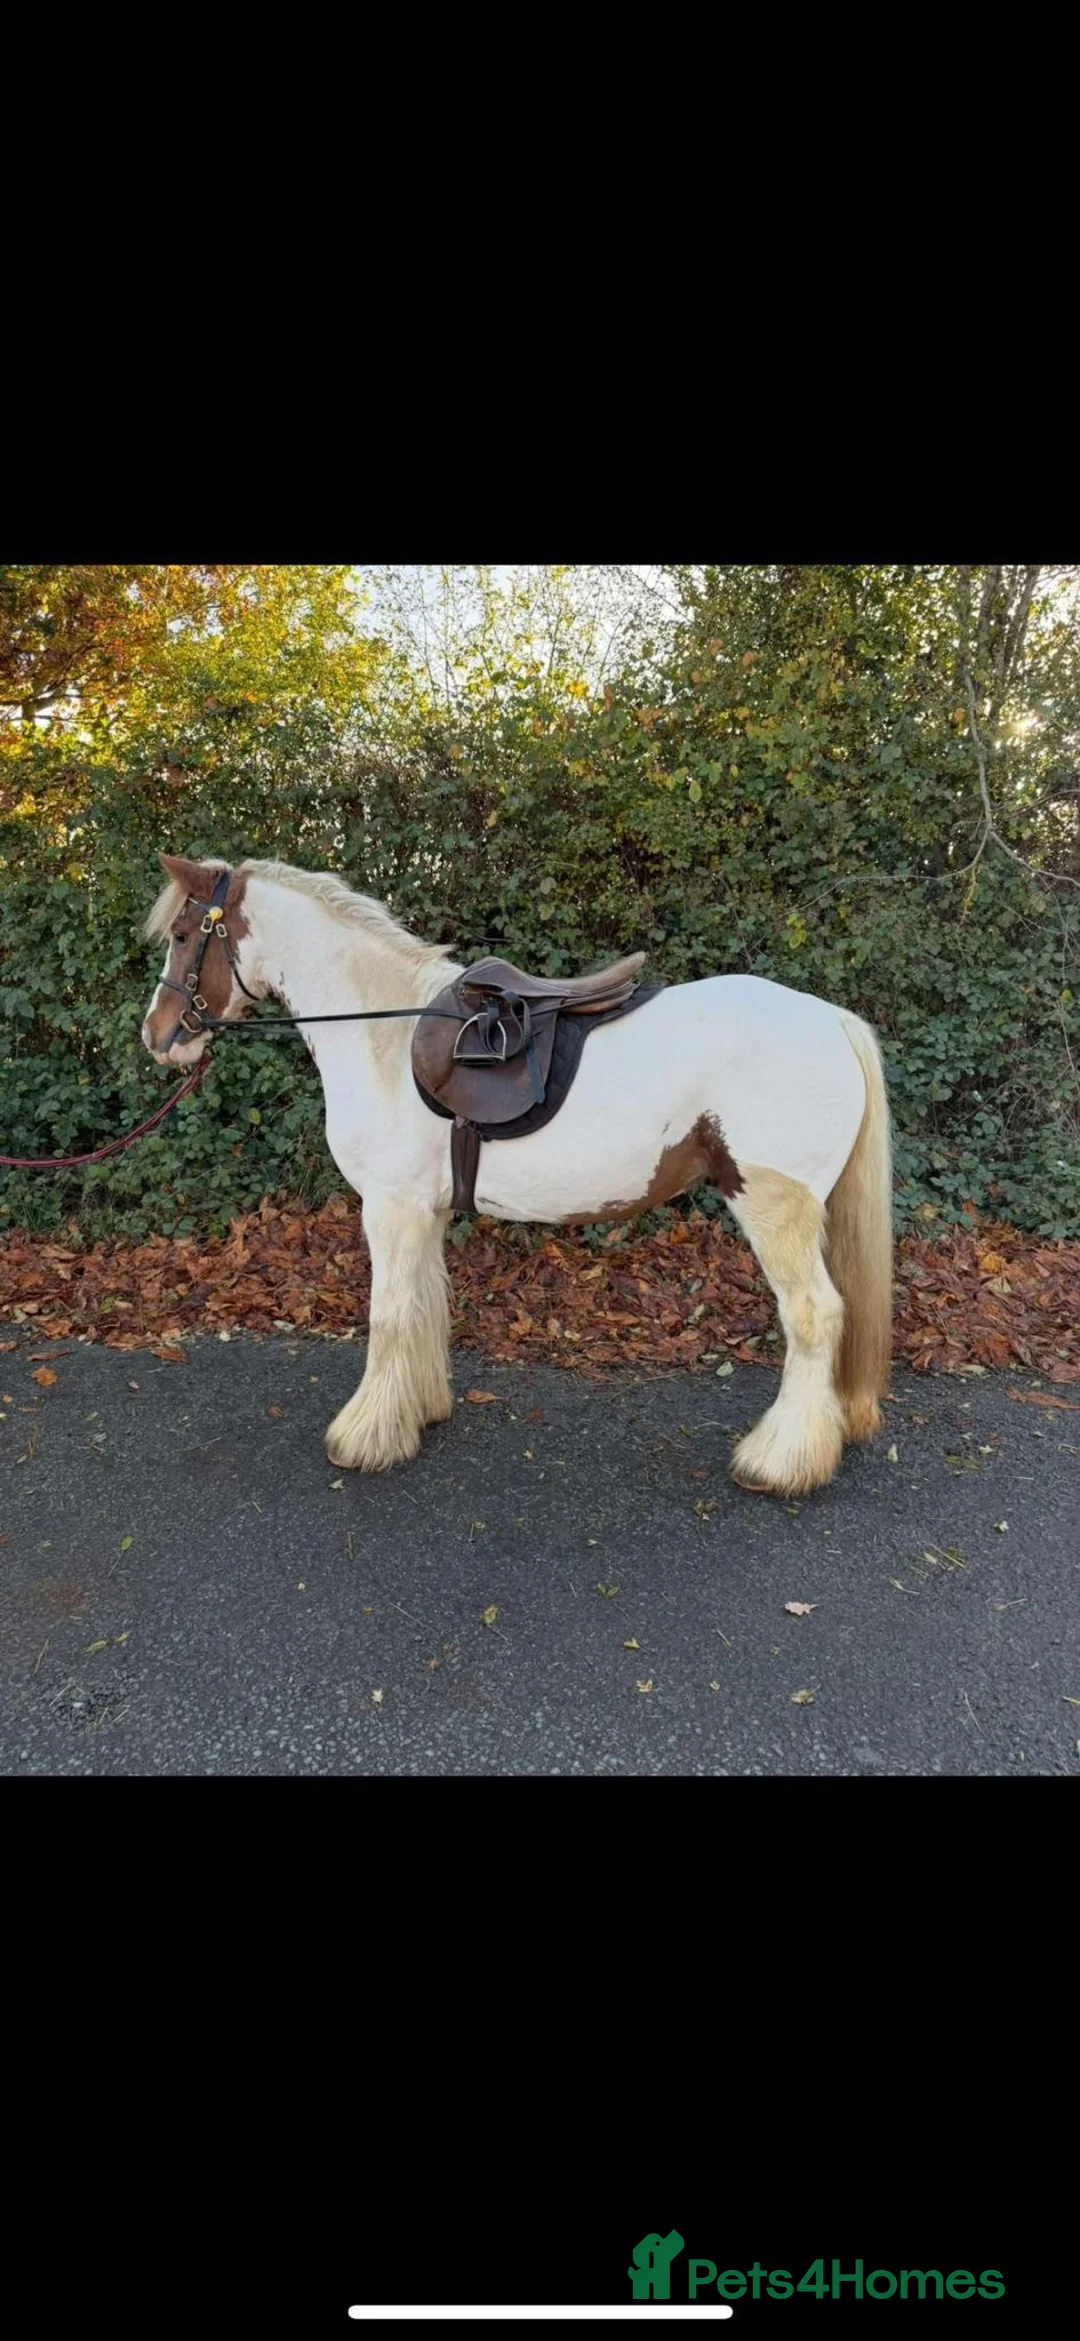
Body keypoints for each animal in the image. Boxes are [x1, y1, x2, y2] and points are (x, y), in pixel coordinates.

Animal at [140, 853, 894, 1497]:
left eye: (181, 934)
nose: (158, 1034)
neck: (382, 1032)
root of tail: (833, 1019)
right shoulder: (422, 1211)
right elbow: (425, 1304)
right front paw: (420, 1409)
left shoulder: (389, 1207)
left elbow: (388, 1314)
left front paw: (366, 1436)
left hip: (771, 1204)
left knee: (814, 1314)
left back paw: (781, 1461)